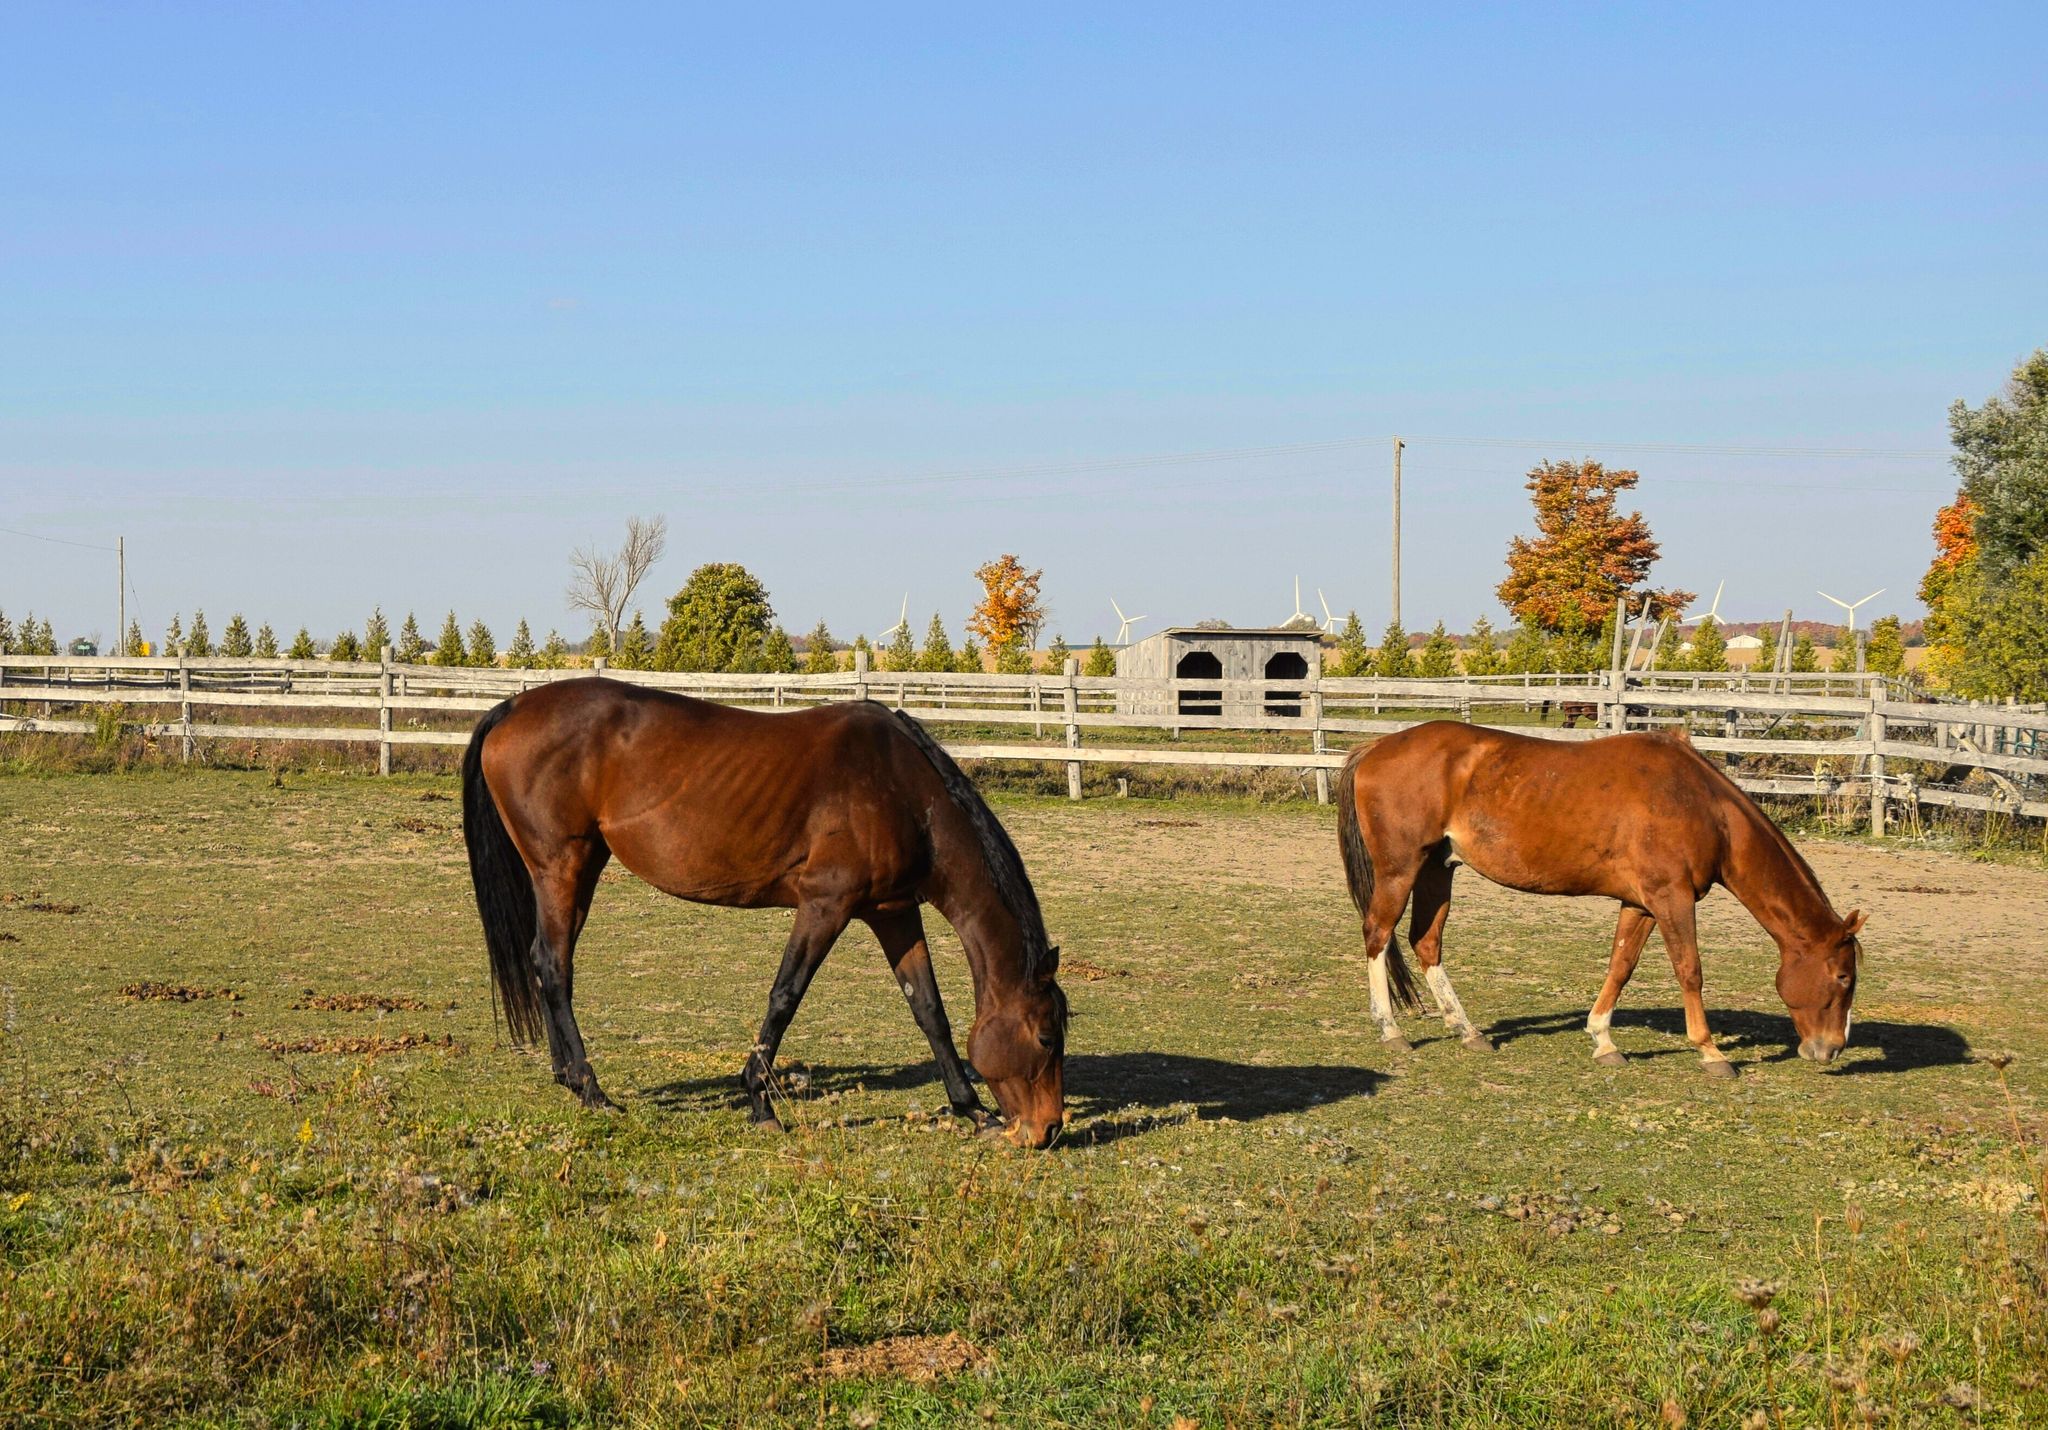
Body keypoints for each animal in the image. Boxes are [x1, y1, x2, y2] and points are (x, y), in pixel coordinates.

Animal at [464, 680, 1073, 1147]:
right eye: (1047, 1038)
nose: (1046, 1131)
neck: (902, 790)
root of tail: (512, 707)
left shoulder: (893, 913)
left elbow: (930, 1012)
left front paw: (973, 1109)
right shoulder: (826, 905)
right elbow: (785, 996)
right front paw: (760, 1103)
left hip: (582, 867)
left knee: (547, 962)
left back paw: (568, 1078)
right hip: (561, 866)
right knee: (555, 967)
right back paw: (592, 1091)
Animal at [1335, 725, 1867, 1065]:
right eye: (1843, 977)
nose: (1830, 1049)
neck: (1703, 806)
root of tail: (1377, 745)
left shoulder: (1642, 904)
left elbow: (1621, 966)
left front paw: (1603, 1039)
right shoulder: (1672, 899)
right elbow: (1689, 970)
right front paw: (1711, 1051)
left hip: (1437, 869)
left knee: (1425, 942)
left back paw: (1468, 1032)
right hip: (1400, 869)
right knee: (1378, 934)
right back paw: (1391, 1031)